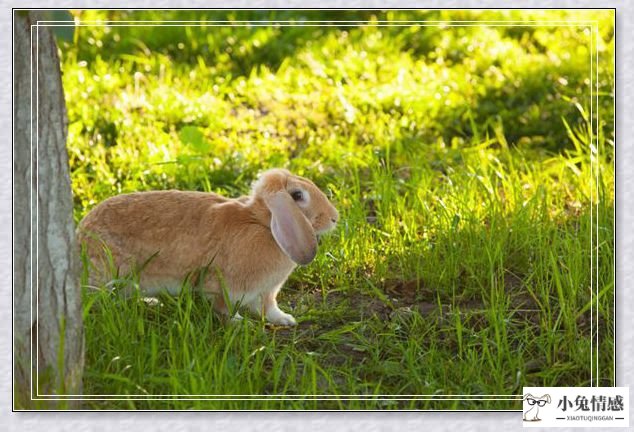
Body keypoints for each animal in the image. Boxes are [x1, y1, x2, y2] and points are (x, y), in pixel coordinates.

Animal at [76, 167, 338, 326]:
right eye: (297, 196)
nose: (334, 217)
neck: (263, 224)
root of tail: (80, 238)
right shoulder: (224, 287)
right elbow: (224, 308)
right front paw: (240, 324)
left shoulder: (267, 291)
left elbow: (269, 309)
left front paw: (286, 320)